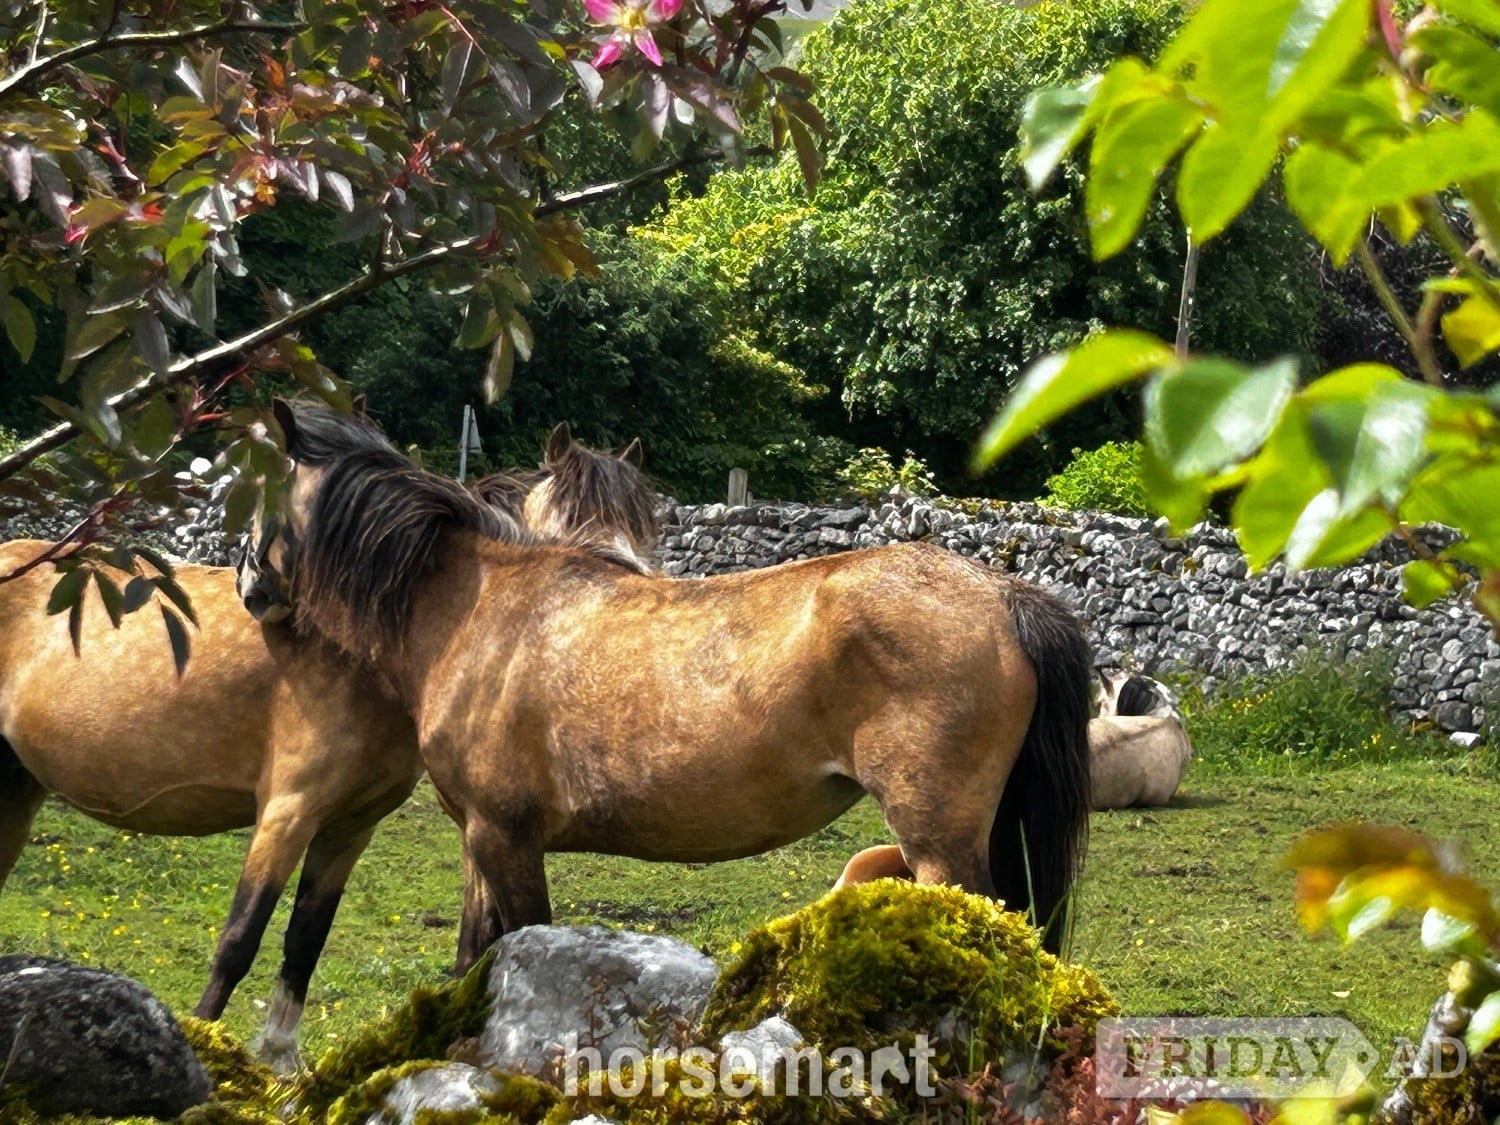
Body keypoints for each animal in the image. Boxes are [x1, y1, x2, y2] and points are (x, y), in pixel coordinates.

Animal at [0, 424, 652, 1072]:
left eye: (641, 524)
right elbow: (240, 939)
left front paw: (279, 1060)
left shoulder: (350, 825)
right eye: (572, 523)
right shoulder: (287, 812)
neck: (374, 650)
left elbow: (306, 939)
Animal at [238, 401, 1094, 955]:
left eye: (255, 493)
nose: (249, 584)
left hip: (940, 844)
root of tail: (1005, 592)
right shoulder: (480, 840)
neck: (477, 607)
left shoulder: (503, 836)